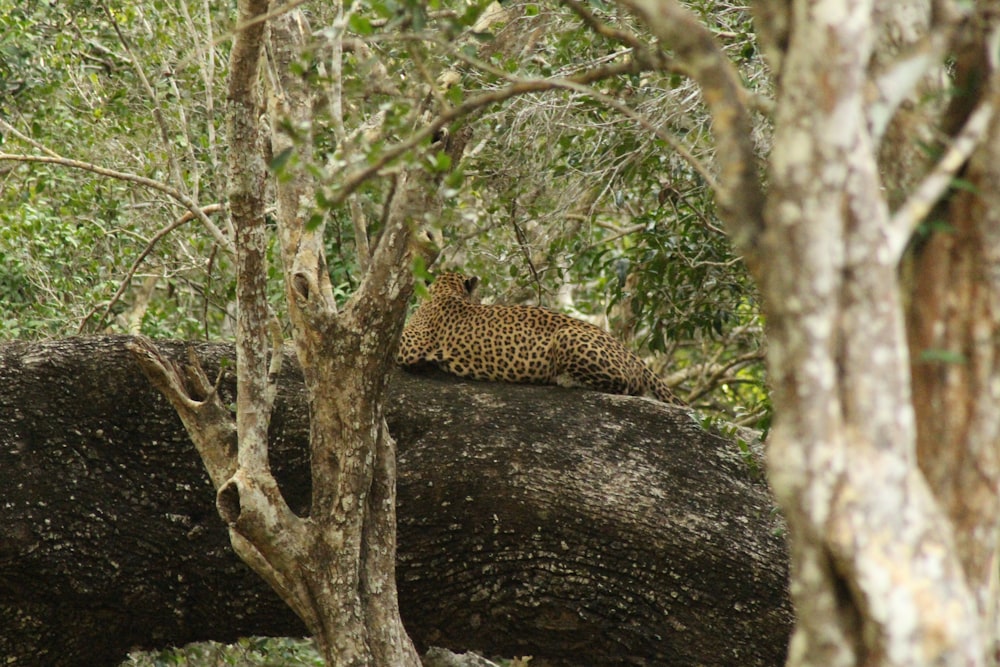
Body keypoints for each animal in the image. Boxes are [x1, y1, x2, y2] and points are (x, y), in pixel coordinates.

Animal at [394, 272, 684, 408]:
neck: (446, 290)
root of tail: (631, 353)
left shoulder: (411, 343)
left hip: (567, 336)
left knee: (622, 385)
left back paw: (565, 378)